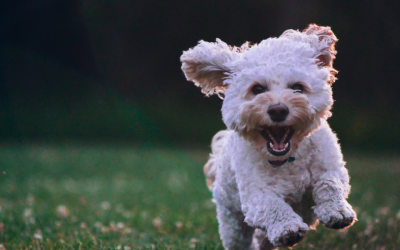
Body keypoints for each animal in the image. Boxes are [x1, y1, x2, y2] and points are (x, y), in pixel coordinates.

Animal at [181, 23, 356, 250]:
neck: (288, 159)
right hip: (232, 221)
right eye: (257, 89)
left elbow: (330, 184)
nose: (278, 110)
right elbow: (272, 206)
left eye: (298, 87)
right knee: (240, 238)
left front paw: (337, 211)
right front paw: (287, 228)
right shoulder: (256, 195)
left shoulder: (331, 167)